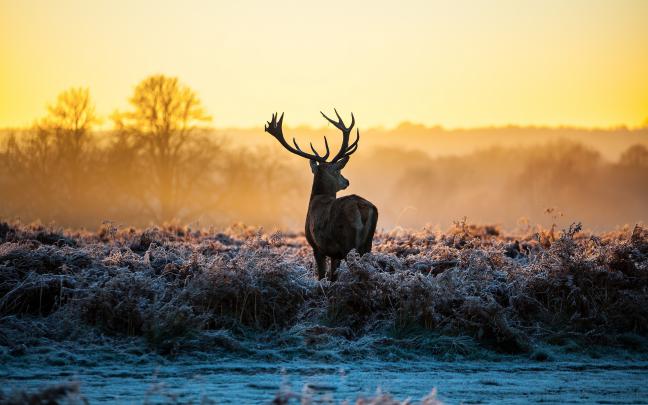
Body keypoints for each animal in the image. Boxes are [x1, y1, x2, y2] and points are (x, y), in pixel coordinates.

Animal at [265, 110, 378, 281]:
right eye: (338, 171)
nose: (346, 181)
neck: (316, 198)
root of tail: (361, 207)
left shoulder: (317, 246)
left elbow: (322, 276)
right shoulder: (334, 254)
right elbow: (332, 277)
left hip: (347, 242)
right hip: (367, 244)